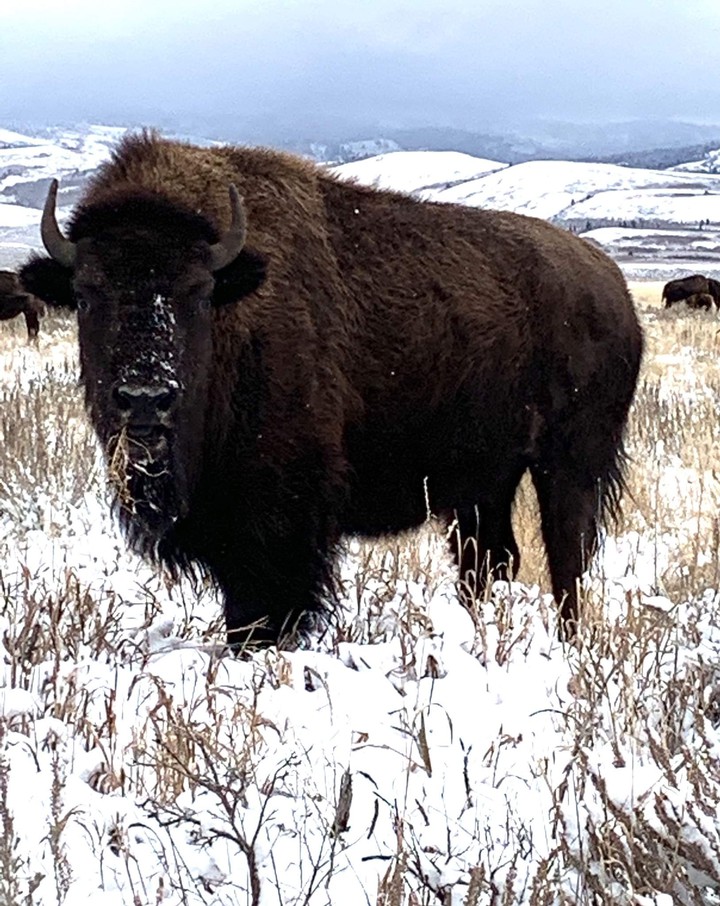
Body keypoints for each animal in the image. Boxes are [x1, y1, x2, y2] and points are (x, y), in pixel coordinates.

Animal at [20, 132, 643, 646]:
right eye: (86, 294)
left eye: (197, 293)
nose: (146, 398)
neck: (237, 301)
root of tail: (612, 286)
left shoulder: (281, 515)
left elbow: (269, 602)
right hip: (485, 479)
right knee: (490, 560)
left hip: (569, 466)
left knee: (566, 556)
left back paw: (567, 644)